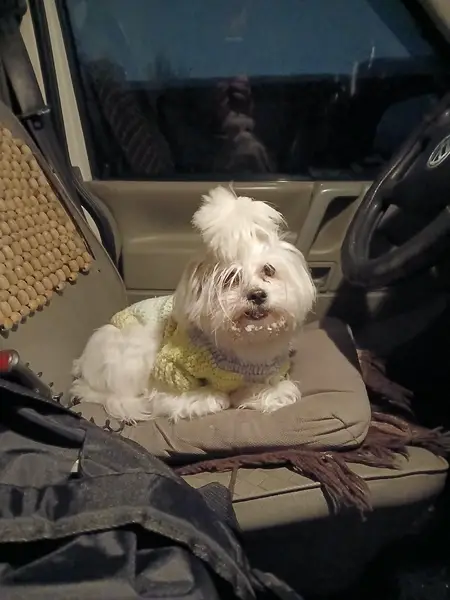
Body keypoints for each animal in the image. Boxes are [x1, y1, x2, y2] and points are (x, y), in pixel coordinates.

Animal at [71, 186, 316, 422]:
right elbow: (188, 398)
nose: (256, 295)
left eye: (268, 270)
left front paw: (249, 392)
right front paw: (219, 395)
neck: (246, 342)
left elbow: (277, 391)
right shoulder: (169, 372)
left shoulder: (273, 371)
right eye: (231, 278)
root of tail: (83, 367)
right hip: (134, 348)